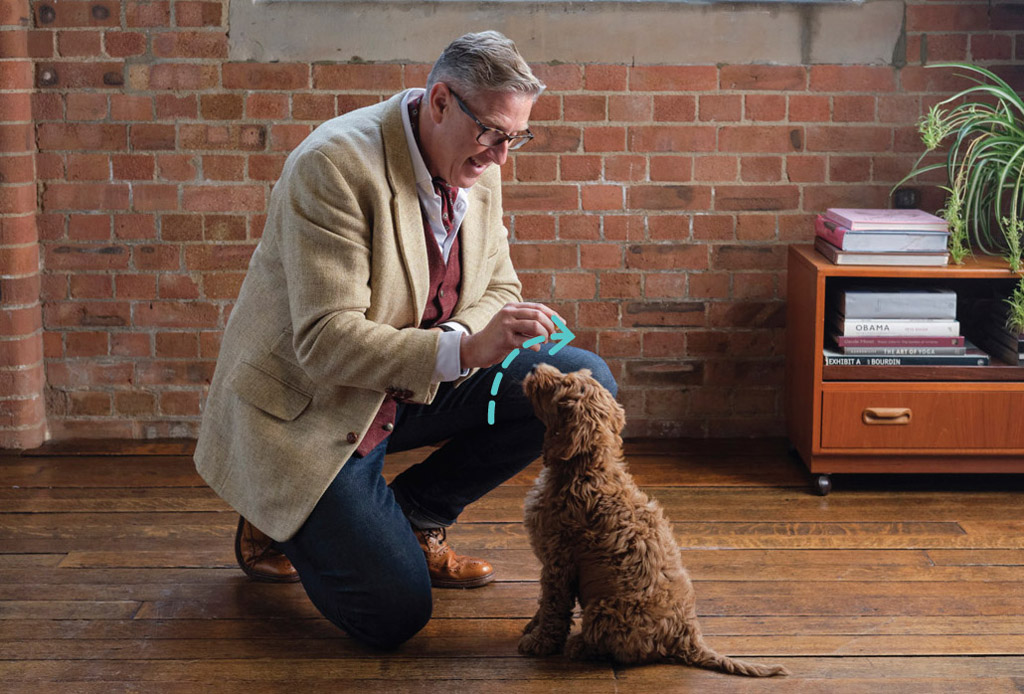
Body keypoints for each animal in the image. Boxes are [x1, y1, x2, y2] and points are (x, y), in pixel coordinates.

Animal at [516, 364, 786, 679]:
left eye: (562, 384)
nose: (534, 367)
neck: (588, 470)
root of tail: (688, 637)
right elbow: (545, 601)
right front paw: (533, 626)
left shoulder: (559, 560)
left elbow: (553, 605)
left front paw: (539, 641)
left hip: (605, 609)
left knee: (611, 646)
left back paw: (579, 646)